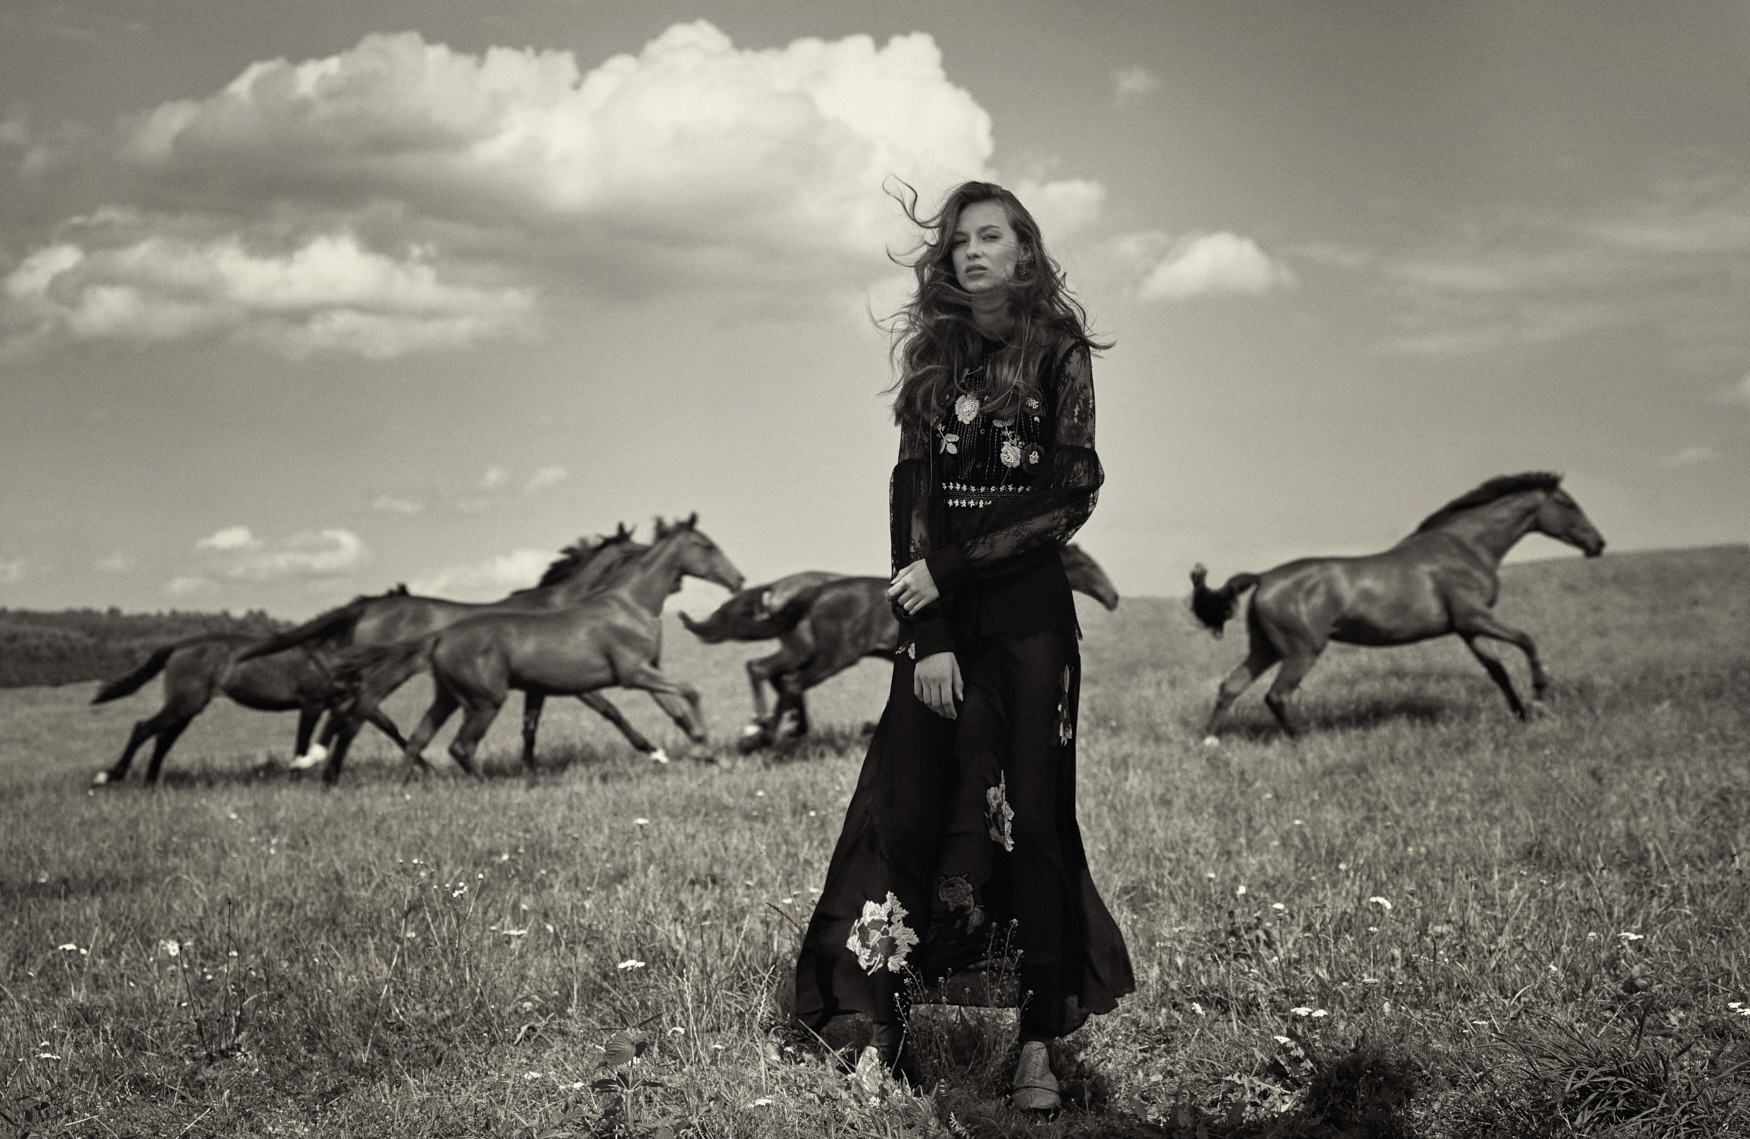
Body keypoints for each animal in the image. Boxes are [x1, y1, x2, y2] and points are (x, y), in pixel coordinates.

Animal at [89, 634, 408, 785]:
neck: (329, 657)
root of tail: (178, 646)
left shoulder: (347, 702)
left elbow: (391, 728)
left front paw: (418, 767)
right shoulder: (312, 703)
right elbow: (302, 742)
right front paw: (294, 778)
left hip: (187, 709)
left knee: (162, 739)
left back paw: (151, 783)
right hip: (184, 704)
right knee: (143, 728)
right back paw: (110, 776)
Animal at [331, 515, 742, 782]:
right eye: (706, 545)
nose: (738, 578)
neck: (628, 603)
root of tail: (439, 636)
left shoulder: (640, 672)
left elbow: (675, 708)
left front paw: (703, 755)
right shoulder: (624, 675)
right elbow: (642, 705)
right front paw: (685, 751)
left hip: (447, 696)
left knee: (415, 736)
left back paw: (405, 782)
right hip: (479, 699)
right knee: (421, 734)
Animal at [681, 543, 1120, 750]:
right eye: (1087, 565)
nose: (1114, 597)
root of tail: (809, 592)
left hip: (807, 652)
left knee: (770, 673)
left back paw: (772, 731)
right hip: (831, 656)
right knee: (780, 678)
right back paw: (764, 734)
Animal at [1189, 472, 1605, 739]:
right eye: (1567, 503)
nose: (1598, 544)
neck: (1465, 548)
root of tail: (1264, 578)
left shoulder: (1467, 628)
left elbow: (1498, 671)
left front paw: (1522, 717)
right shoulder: (1476, 616)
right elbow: (1527, 641)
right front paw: (1540, 700)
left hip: (1265, 648)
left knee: (1231, 685)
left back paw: (1210, 741)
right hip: (1301, 650)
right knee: (1276, 695)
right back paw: (1302, 741)